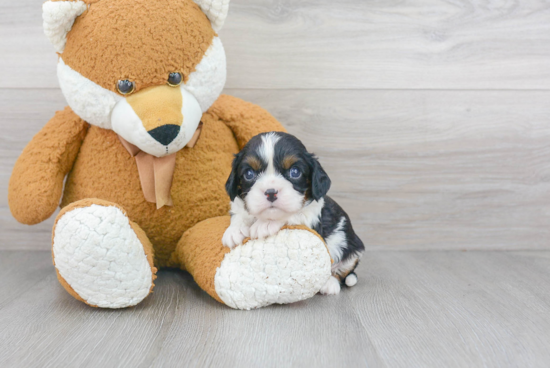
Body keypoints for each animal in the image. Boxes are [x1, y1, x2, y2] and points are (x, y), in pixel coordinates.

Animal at [222, 131, 364, 294]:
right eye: (249, 173)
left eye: (294, 172)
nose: (271, 192)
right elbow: (239, 213)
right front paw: (234, 231)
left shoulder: (310, 215)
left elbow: (292, 215)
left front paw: (264, 224)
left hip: (352, 247)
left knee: (343, 270)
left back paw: (330, 283)